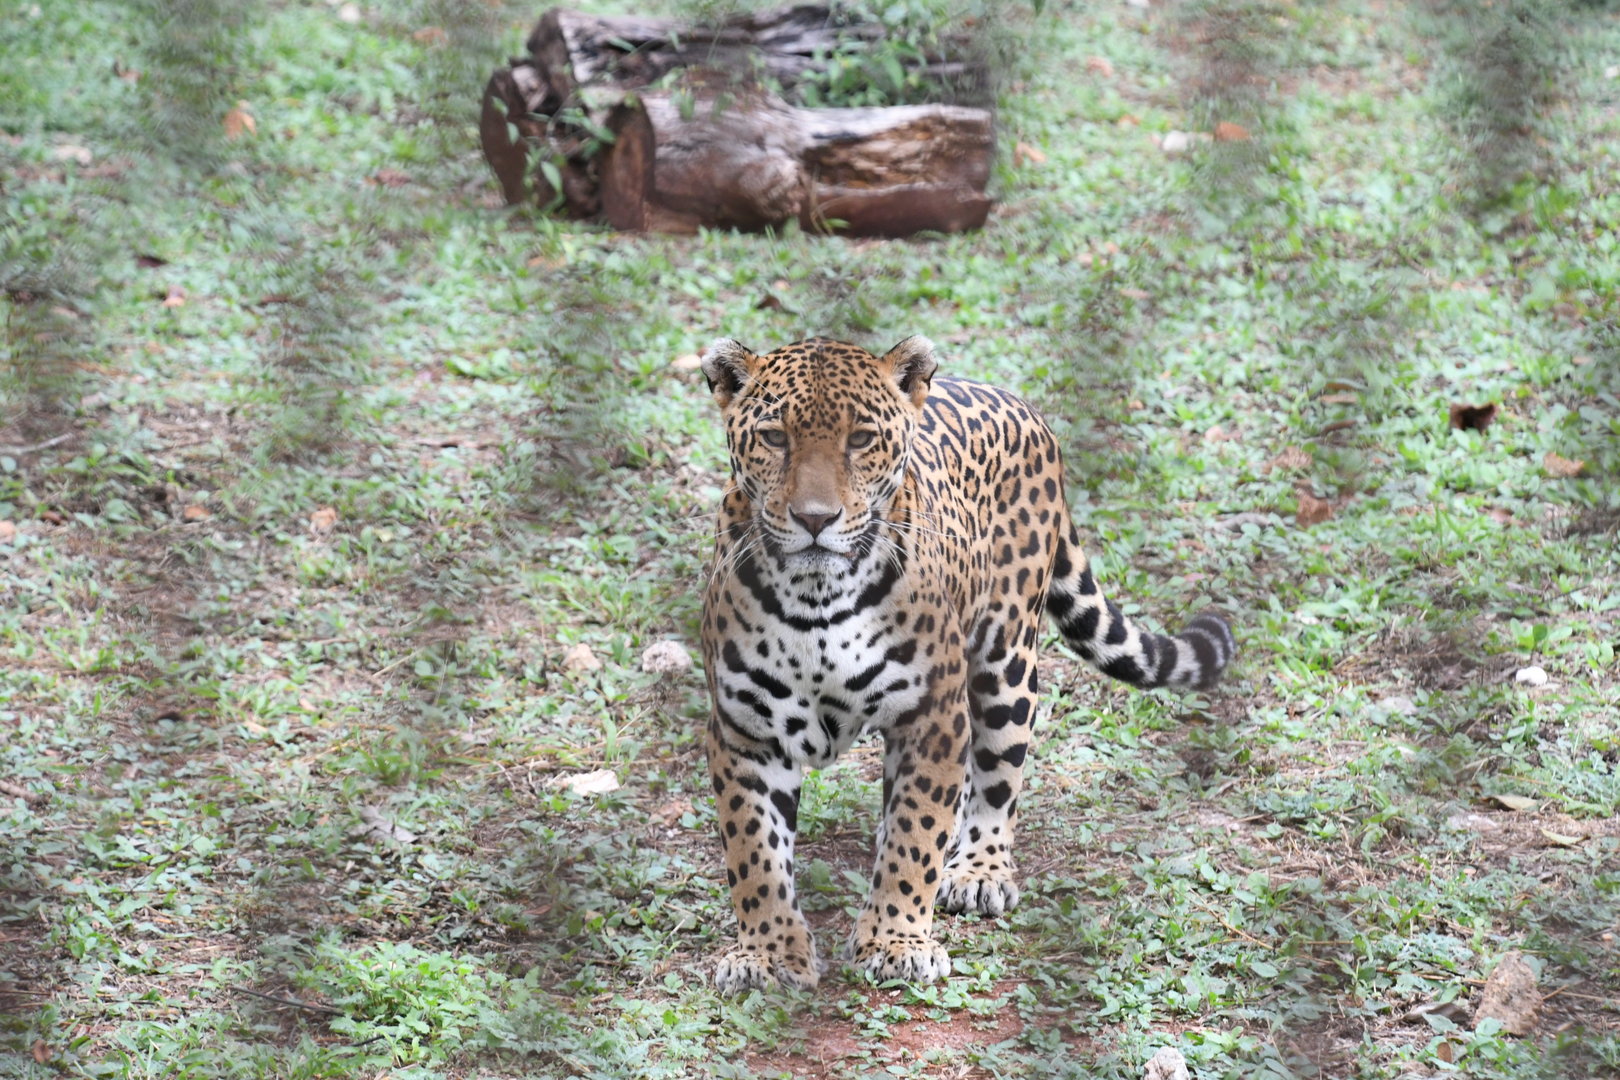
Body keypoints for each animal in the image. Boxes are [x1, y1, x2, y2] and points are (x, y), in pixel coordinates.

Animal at [699, 335, 1235, 992]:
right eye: (774, 437)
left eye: (861, 439)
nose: (815, 519)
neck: (816, 597)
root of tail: (1020, 405)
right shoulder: (744, 730)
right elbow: (755, 854)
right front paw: (770, 953)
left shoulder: (934, 715)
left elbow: (915, 836)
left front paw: (896, 940)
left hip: (1007, 665)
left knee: (997, 779)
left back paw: (979, 871)